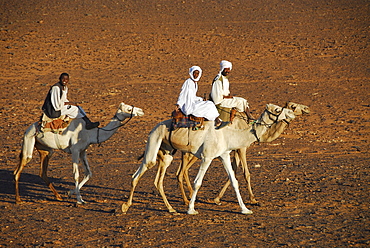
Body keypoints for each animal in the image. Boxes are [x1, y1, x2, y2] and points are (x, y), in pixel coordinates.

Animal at [14, 101, 145, 204]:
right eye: (128, 109)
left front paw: (70, 192)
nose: (141, 111)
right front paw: (79, 199)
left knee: (42, 172)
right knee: (19, 169)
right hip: (29, 140)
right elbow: (76, 174)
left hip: (46, 150)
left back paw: (59, 196)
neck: (90, 133)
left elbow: (88, 173)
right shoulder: (75, 150)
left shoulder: (83, 151)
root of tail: (29, 128)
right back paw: (18, 200)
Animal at [121, 103, 294, 214]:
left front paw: (245, 209)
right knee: (137, 174)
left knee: (158, 180)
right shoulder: (207, 157)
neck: (229, 133)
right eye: (277, 109)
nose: (291, 113)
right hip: (153, 142)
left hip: (167, 152)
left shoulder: (224, 154)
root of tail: (153, 128)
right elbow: (198, 183)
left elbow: (234, 181)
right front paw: (191, 209)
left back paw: (171, 209)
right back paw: (125, 206)